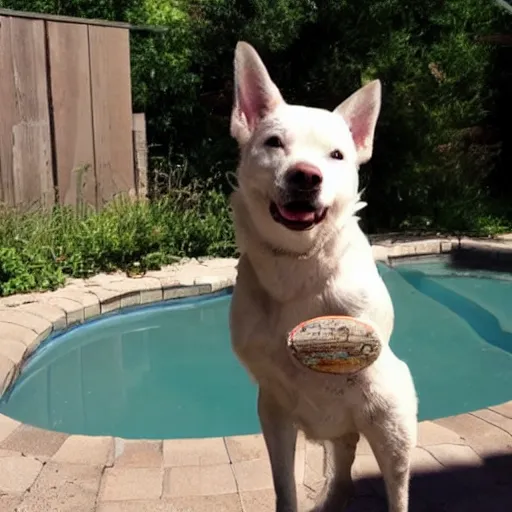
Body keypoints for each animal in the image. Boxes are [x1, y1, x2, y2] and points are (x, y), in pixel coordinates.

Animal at [230, 41, 418, 512]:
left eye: (336, 155)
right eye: (274, 142)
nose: (305, 176)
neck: (297, 265)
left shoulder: (377, 392)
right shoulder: (274, 411)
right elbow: (285, 489)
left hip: (393, 426)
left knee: (394, 485)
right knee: (343, 472)